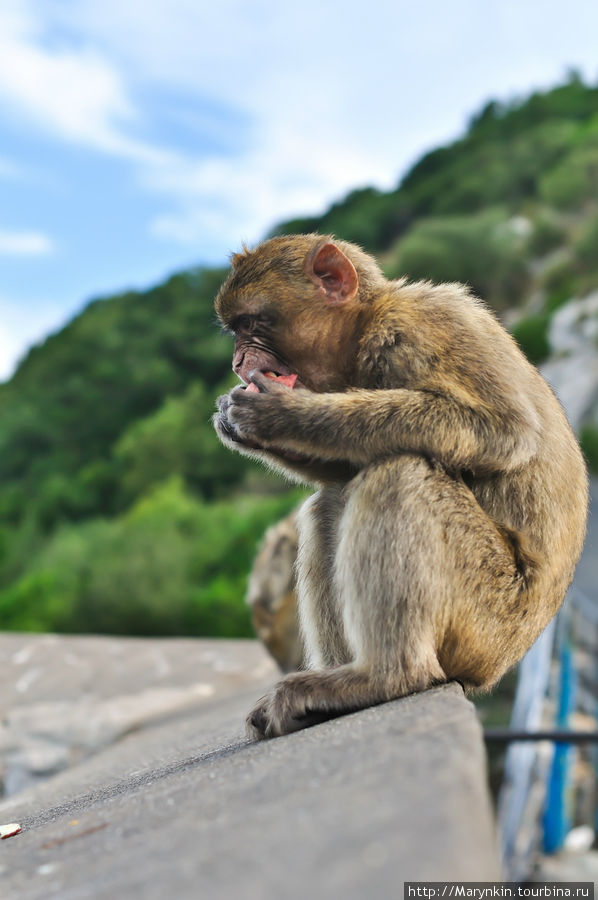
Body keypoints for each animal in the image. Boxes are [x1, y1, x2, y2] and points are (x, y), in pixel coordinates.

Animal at [213, 232, 588, 740]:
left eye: (251, 323)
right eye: (235, 330)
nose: (237, 362)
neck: (365, 327)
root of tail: (496, 668)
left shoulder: (425, 325)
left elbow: (505, 431)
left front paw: (282, 414)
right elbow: (343, 468)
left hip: (488, 614)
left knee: (400, 474)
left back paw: (385, 676)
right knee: (332, 502)